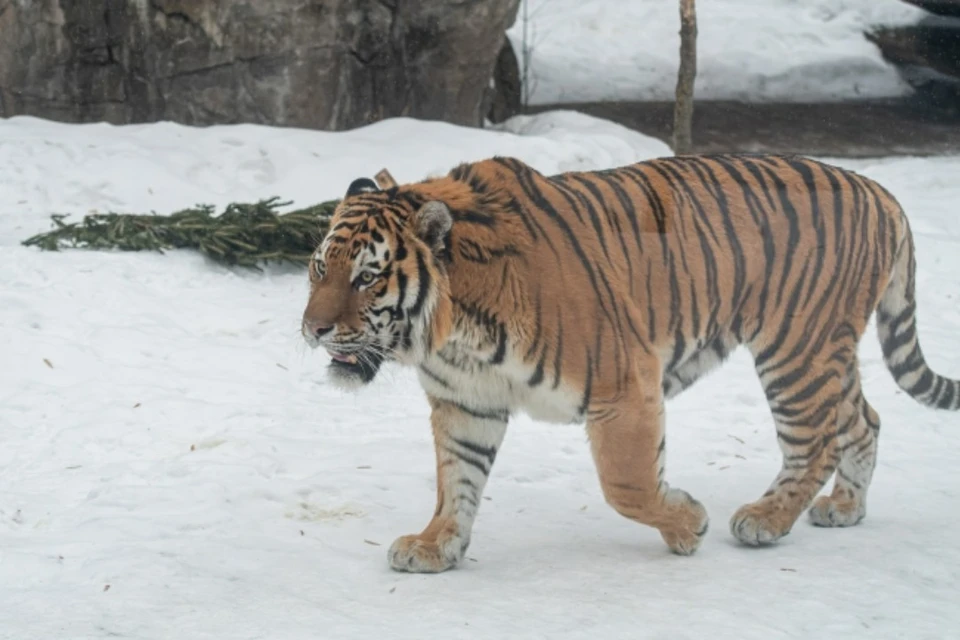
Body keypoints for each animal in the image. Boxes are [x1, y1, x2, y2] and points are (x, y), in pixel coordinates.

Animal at [300, 152, 960, 572]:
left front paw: (688, 524)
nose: (313, 329)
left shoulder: (624, 386)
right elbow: (454, 481)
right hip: (823, 351)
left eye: (366, 278)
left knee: (816, 440)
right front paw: (437, 546)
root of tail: (879, 190)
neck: (455, 331)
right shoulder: (468, 402)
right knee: (864, 419)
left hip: (797, 348)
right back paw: (845, 508)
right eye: (319, 268)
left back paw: (765, 520)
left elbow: (627, 483)